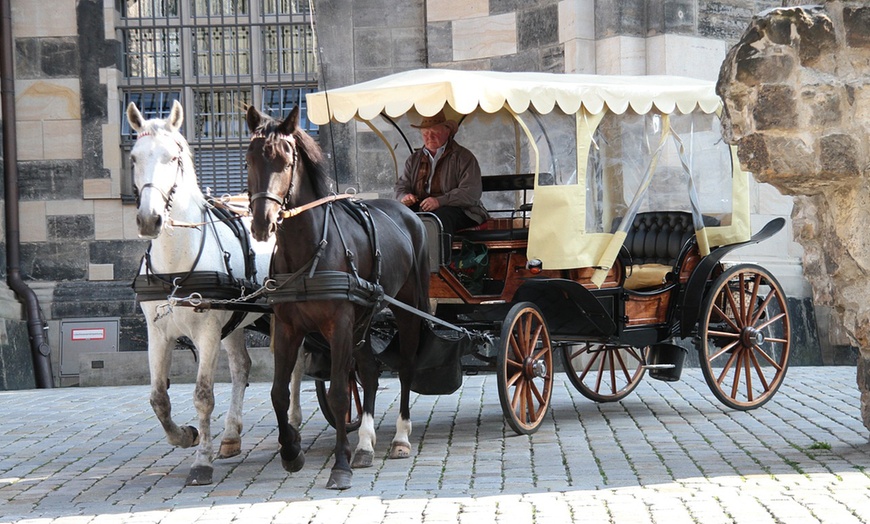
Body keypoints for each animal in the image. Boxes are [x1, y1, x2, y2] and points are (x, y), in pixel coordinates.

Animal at [126, 101, 306, 488]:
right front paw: (186, 436)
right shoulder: (157, 333)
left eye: (173, 156)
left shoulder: (207, 331)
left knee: (295, 364)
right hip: (235, 322)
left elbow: (203, 395)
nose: (149, 219)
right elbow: (158, 398)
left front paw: (201, 462)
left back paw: (293, 422)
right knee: (241, 366)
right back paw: (231, 435)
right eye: (134, 157)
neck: (176, 262)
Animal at [245, 104, 430, 490]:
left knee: (405, 368)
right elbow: (279, 392)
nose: (262, 223)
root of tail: (410, 214)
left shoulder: (339, 323)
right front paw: (291, 452)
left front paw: (340, 467)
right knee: (370, 371)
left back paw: (400, 438)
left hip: (408, 309)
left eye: (285, 161)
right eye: (248, 159)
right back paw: (365, 444)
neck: (310, 249)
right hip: (364, 318)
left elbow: (339, 395)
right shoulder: (288, 328)